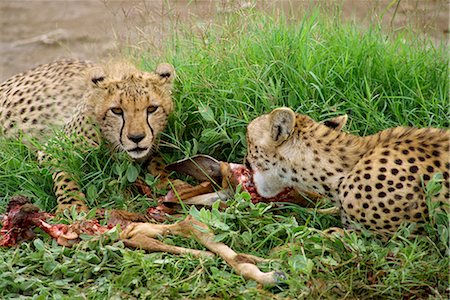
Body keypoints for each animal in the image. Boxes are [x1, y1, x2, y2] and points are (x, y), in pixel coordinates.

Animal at [0, 58, 175, 212]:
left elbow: (159, 161)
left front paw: (168, 180)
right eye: (116, 110)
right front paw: (71, 206)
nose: (136, 138)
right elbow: (64, 176)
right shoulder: (52, 148)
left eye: (152, 108)